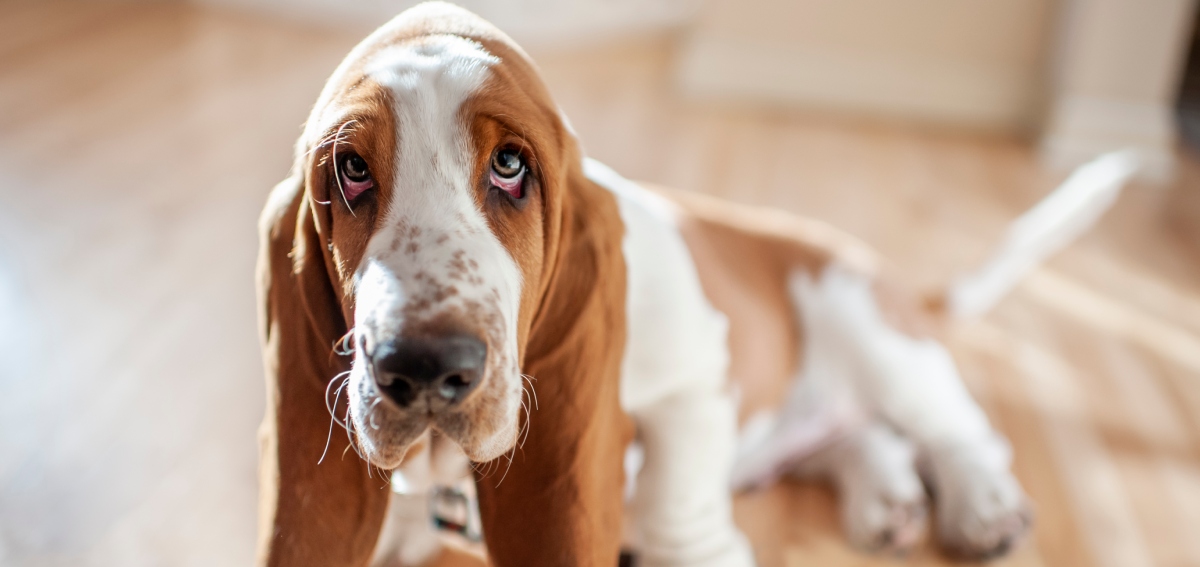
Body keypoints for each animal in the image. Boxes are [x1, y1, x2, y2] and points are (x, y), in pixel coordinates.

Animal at [258, 3, 1137, 562]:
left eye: (510, 165)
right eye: (351, 170)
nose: (424, 366)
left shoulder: (697, 368)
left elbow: (677, 479)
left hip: (872, 331)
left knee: (961, 433)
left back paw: (980, 507)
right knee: (860, 438)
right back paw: (884, 500)